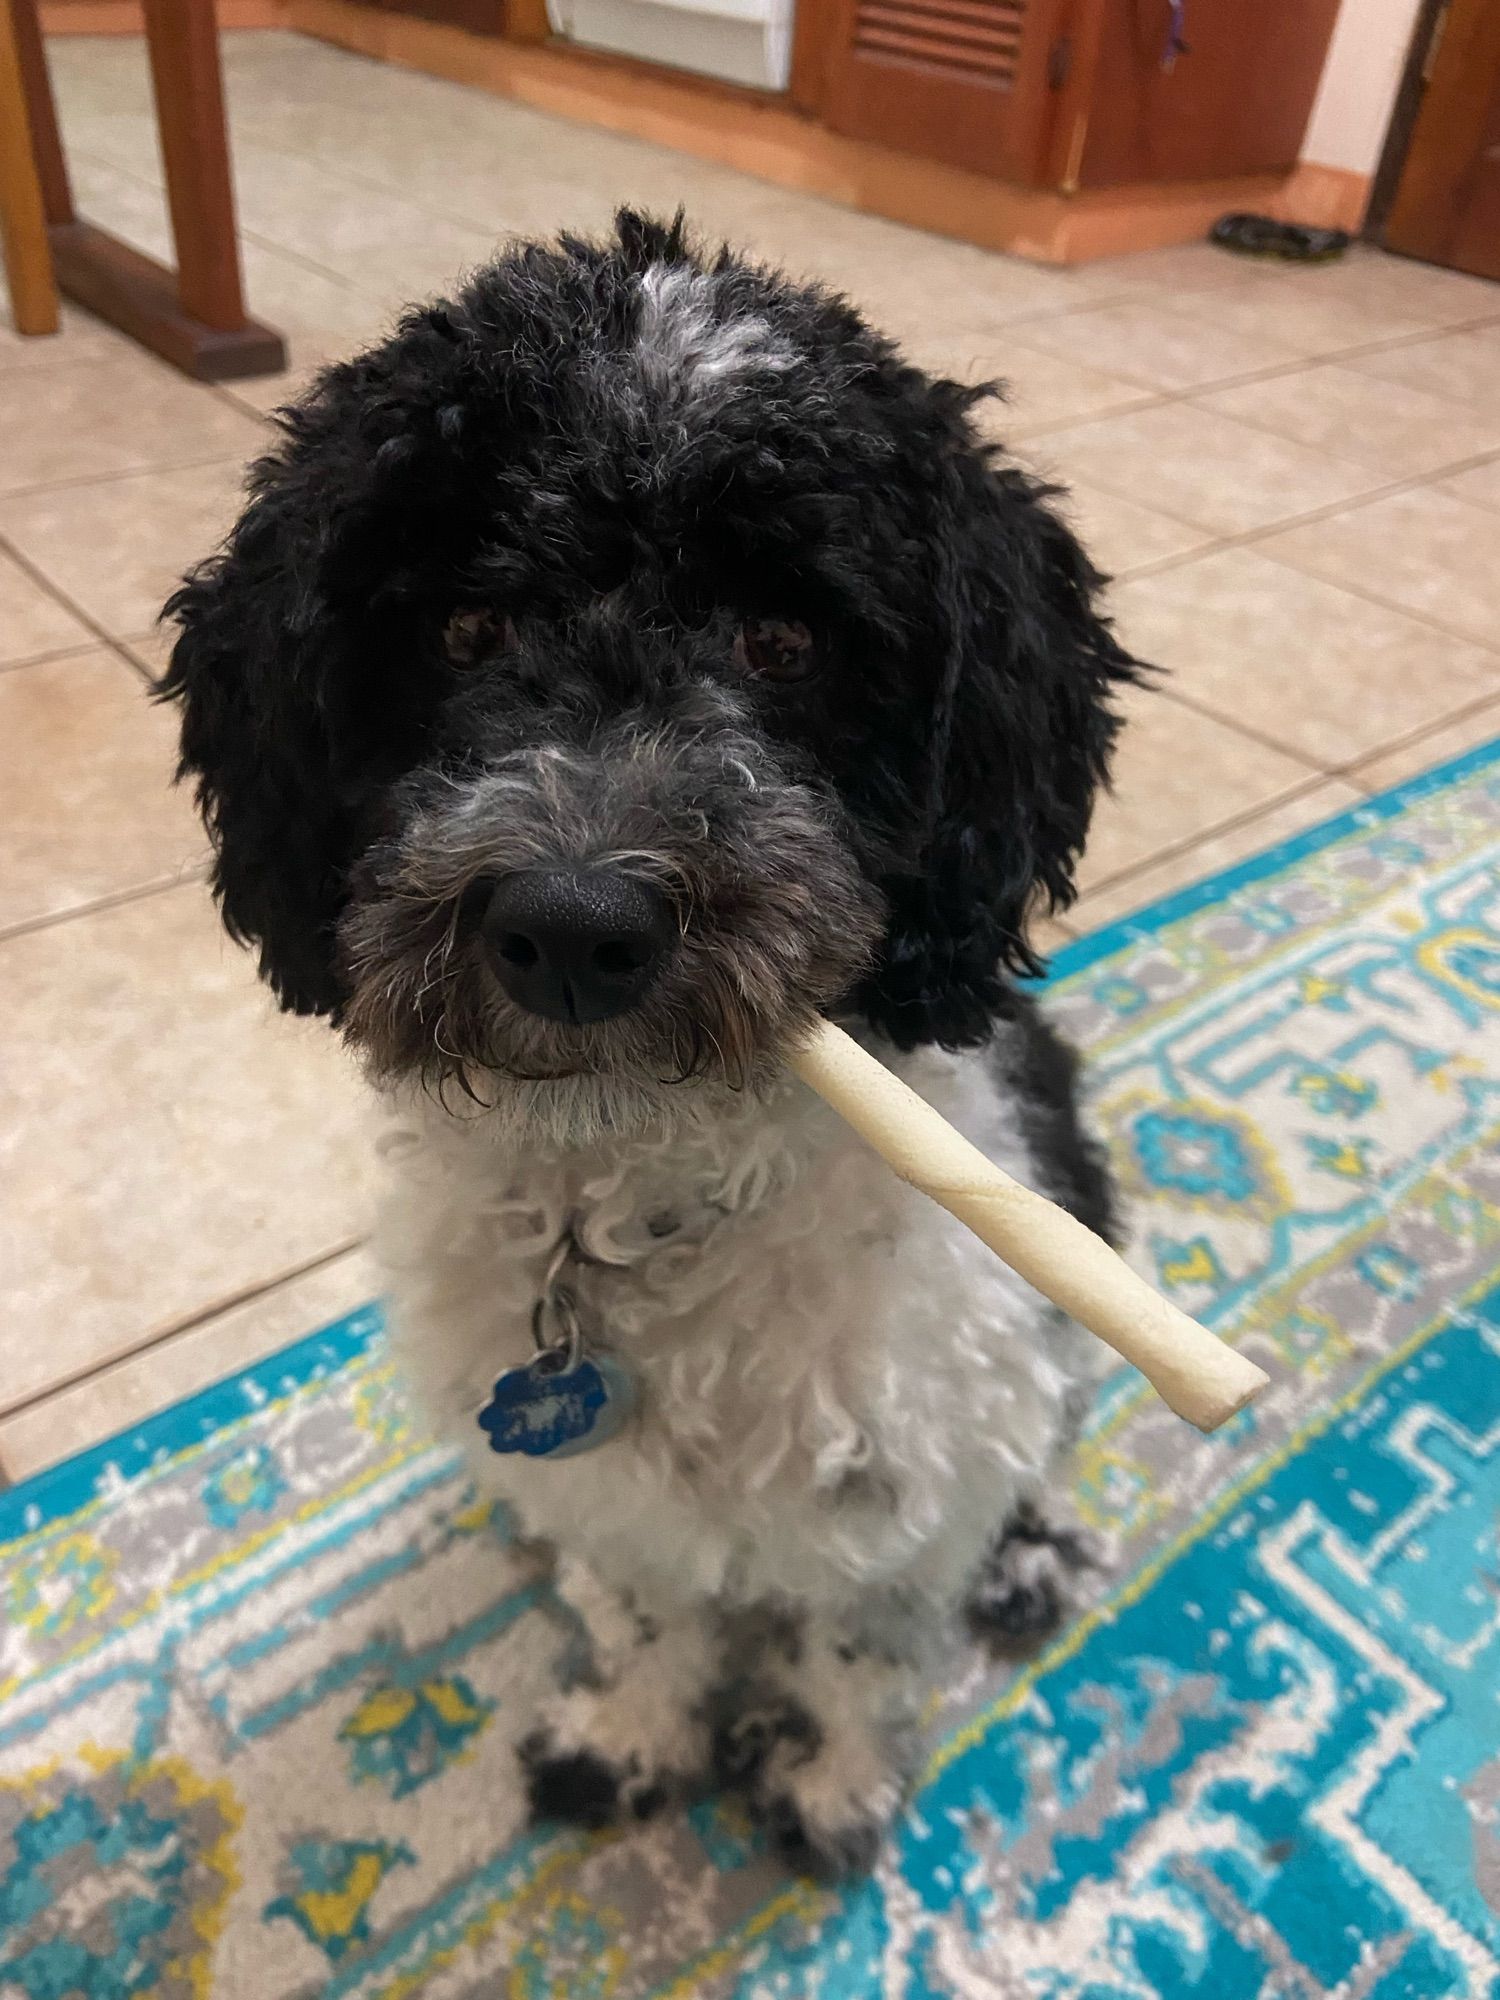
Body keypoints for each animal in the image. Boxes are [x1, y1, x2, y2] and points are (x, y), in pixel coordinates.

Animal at [164, 207, 1144, 1872]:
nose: (571, 924)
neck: (629, 1199)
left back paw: (1032, 1562)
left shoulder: (910, 1479)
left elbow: (862, 1643)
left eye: (786, 639)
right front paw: (631, 1740)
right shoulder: (609, 1504)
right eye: (467, 622)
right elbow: (645, 1618)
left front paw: (832, 1783)